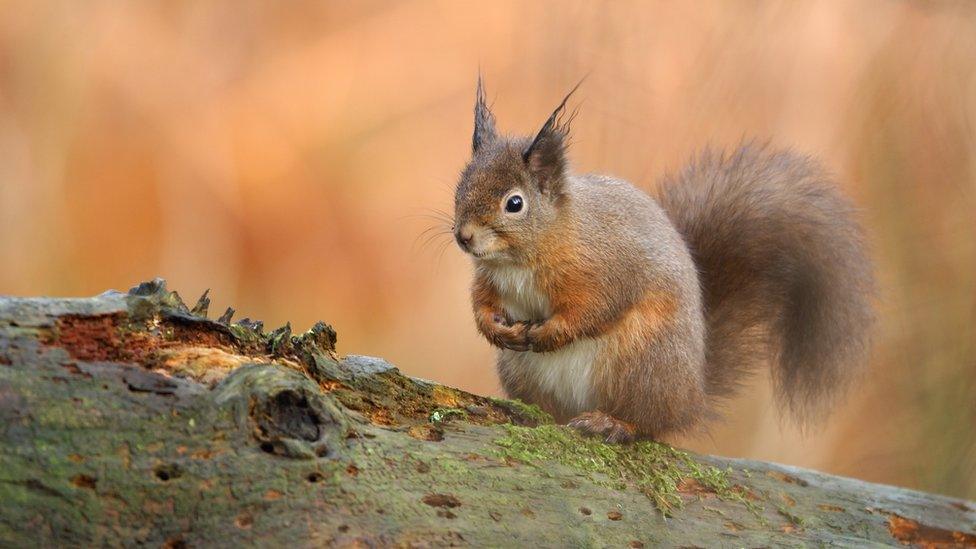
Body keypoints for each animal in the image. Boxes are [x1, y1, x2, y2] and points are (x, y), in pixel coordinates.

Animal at [454, 79, 872, 444]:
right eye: (461, 186)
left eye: (515, 203)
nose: (464, 236)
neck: (520, 260)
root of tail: (692, 396)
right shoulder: (490, 280)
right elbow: (480, 303)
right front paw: (495, 329)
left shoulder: (607, 267)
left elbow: (595, 308)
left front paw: (549, 333)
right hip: (522, 371)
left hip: (643, 363)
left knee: (649, 423)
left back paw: (612, 423)